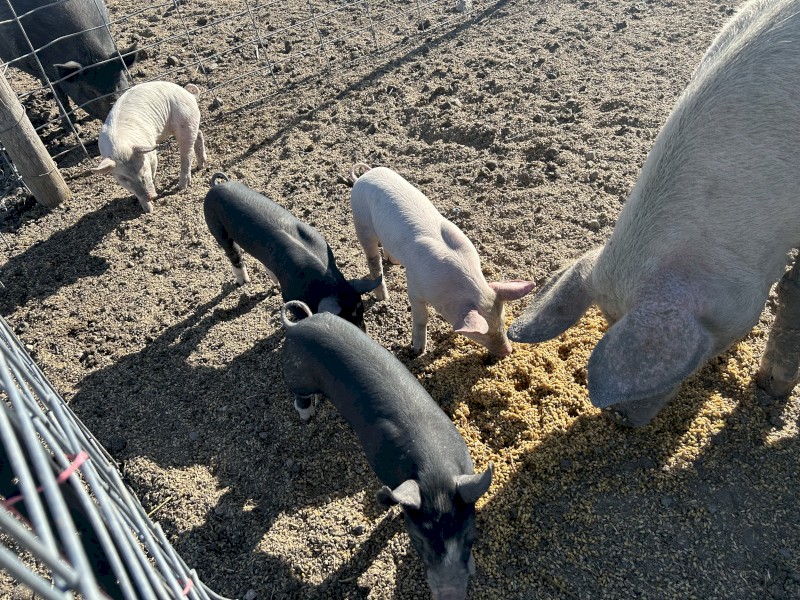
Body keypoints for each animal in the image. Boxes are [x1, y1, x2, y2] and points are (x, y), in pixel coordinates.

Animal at [90, 81, 206, 213]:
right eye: (124, 178)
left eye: (144, 168)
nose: (150, 196)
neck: (120, 146)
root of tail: (189, 94)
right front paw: (148, 211)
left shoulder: (150, 152)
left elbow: (154, 170)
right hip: (190, 125)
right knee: (199, 134)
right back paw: (200, 166)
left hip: (186, 122)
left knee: (187, 154)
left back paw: (182, 186)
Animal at [204, 175, 381, 329]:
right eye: (345, 317)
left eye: (362, 312)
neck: (328, 283)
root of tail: (216, 186)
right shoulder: (289, 293)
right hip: (214, 224)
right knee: (233, 254)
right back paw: (243, 282)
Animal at [280, 299, 493, 600]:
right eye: (419, 542)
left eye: (469, 537)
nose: (450, 593)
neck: (435, 468)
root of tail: (298, 325)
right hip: (297, 374)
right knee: (300, 396)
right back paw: (307, 416)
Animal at [349, 164, 535, 356]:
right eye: (482, 333)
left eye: (503, 320)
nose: (508, 351)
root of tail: (364, 176)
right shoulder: (414, 286)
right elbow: (422, 317)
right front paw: (418, 351)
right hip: (361, 221)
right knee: (373, 260)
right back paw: (383, 297)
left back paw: (394, 262)